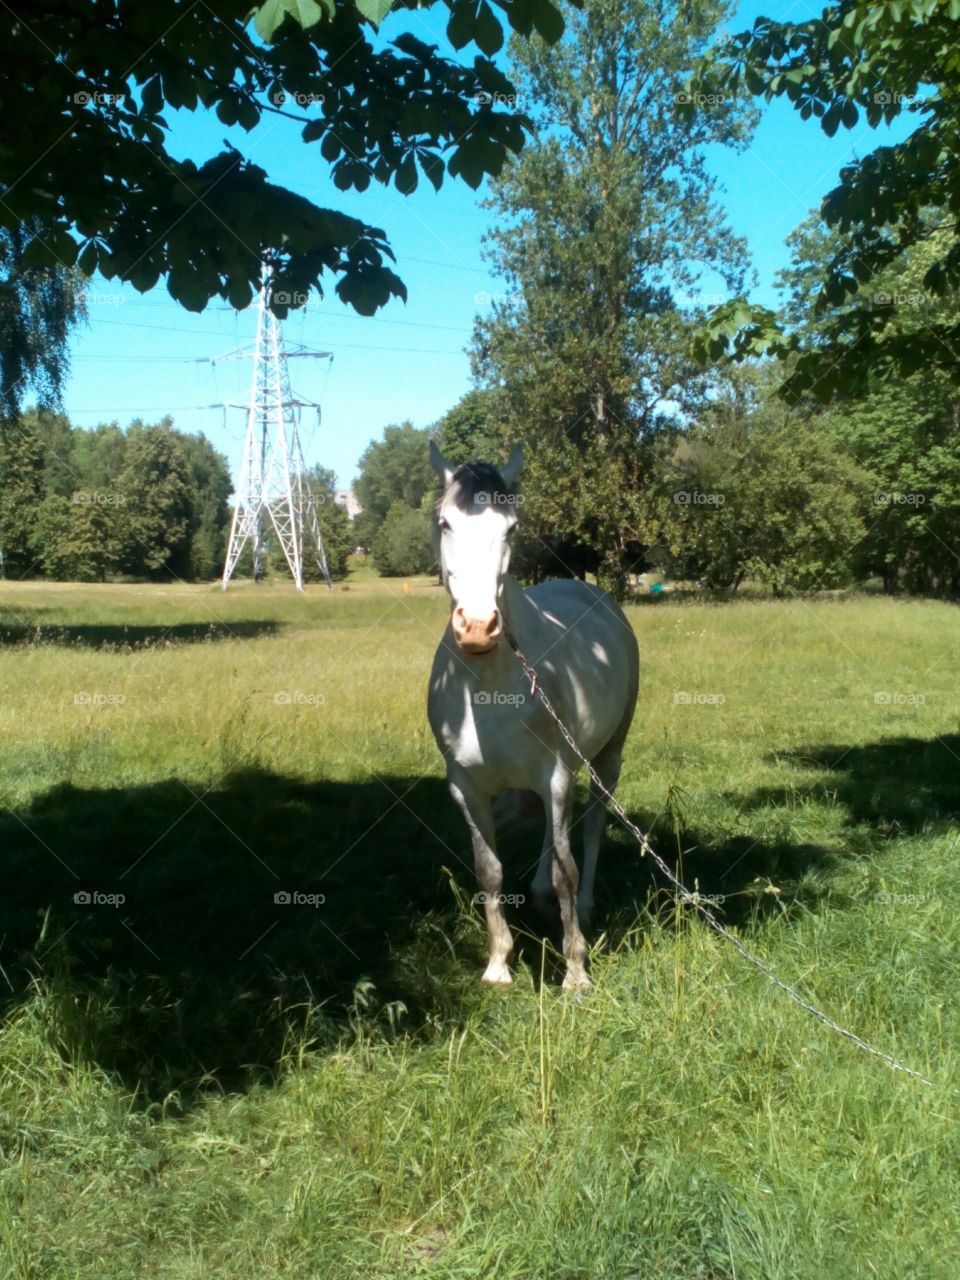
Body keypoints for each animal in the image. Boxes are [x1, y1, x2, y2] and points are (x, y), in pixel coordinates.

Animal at [427, 445, 640, 993]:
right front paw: (498, 964)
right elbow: (488, 870)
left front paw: (576, 972)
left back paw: (582, 907)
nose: (477, 628)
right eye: (445, 522)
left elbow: (568, 866)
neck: (489, 686)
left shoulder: (558, 773)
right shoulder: (465, 786)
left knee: (590, 828)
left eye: (512, 528)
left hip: (606, 758)